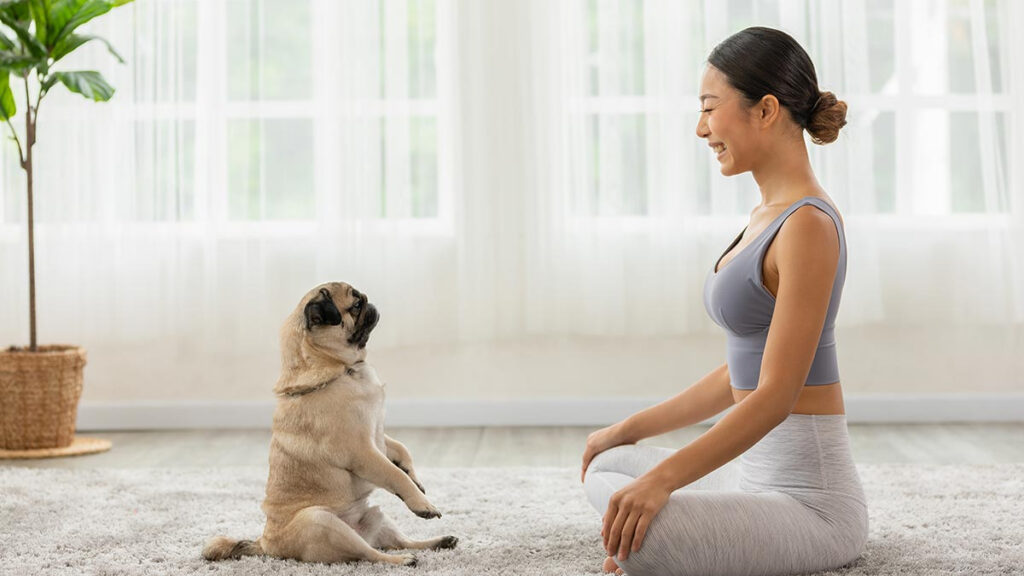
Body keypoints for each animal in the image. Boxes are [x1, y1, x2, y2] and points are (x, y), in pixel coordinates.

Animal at [202, 280, 456, 561]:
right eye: (355, 304)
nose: (369, 300)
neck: (344, 369)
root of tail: (266, 544)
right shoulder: (362, 451)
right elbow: (394, 474)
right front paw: (422, 504)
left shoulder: (378, 434)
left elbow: (401, 449)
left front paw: (416, 481)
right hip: (323, 523)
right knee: (371, 554)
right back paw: (403, 561)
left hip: (378, 516)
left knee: (399, 542)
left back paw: (441, 542)